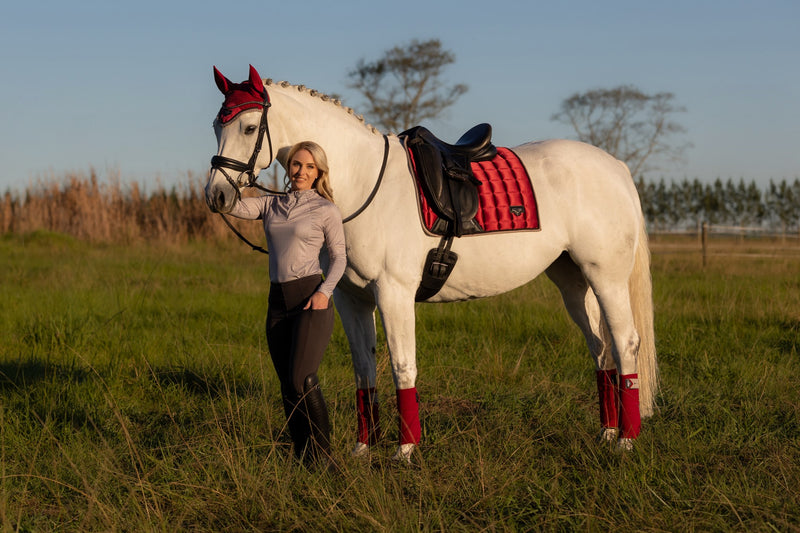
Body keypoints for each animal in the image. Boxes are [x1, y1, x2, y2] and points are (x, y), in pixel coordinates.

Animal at [205, 64, 656, 460]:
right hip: (573, 281)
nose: (217, 196)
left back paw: (626, 442)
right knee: (601, 349)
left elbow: (403, 367)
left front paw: (405, 452)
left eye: (248, 128)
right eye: (215, 126)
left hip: (606, 278)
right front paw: (362, 449)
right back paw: (606, 432)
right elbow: (364, 371)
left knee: (626, 344)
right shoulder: (351, 300)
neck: (362, 185)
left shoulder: (394, 294)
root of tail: (615, 166)